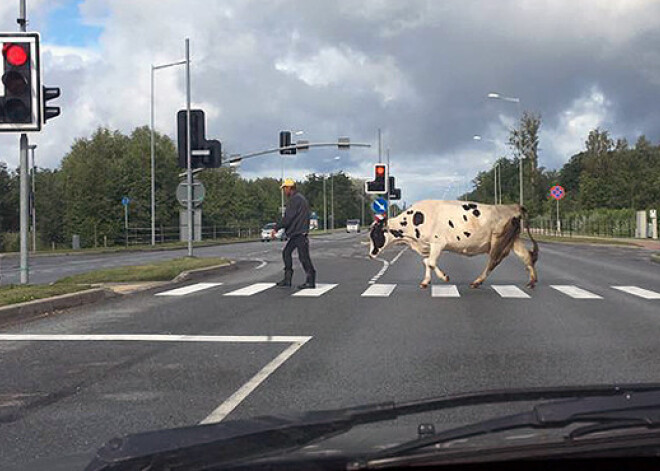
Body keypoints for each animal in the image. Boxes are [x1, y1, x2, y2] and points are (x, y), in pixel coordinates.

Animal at [368, 199, 540, 288]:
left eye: (376, 234)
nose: (370, 254)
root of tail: (513, 206)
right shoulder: (427, 246)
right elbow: (426, 262)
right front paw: (425, 281)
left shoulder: (438, 243)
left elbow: (431, 263)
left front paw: (445, 277)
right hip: (514, 240)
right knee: (526, 256)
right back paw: (532, 281)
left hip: (498, 240)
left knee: (493, 262)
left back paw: (477, 282)